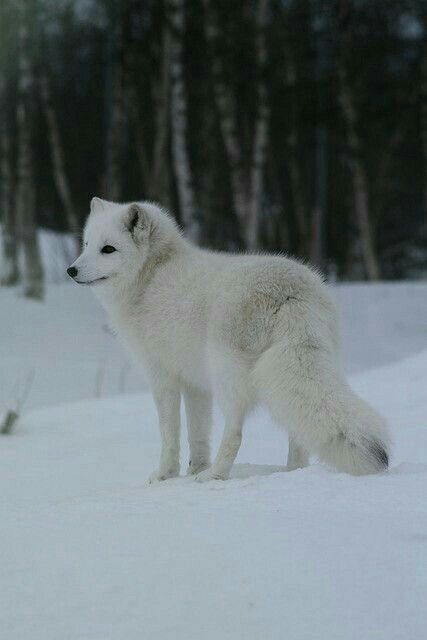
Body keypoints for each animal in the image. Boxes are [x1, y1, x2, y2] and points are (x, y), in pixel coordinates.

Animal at [67, 198, 392, 482]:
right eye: (86, 245)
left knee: (235, 433)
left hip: (226, 377)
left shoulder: (163, 378)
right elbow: (197, 434)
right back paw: (288, 473)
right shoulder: (195, 385)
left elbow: (169, 434)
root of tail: (290, 292)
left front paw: (166, 475)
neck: (151, 276)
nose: (71, 270)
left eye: (108, 249)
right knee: (297, 434)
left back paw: (214, 476)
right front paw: (194, 469)